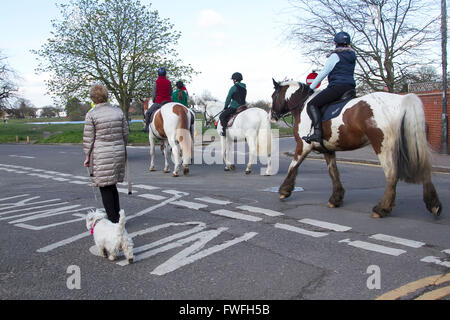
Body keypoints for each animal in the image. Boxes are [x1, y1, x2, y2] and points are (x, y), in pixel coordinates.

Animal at [268, 79, 442, 219]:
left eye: (273, 96)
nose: (272, 116)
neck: (303, 105)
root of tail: (401, 99)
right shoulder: (328, 150)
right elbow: (333, 172)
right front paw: (336, 198)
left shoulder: (303, 145)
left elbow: (293, 166)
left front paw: (284, 191)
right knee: (424, 170)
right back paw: (434, 205)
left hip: (382, 145)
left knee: (392, 174)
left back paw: (382, 208)